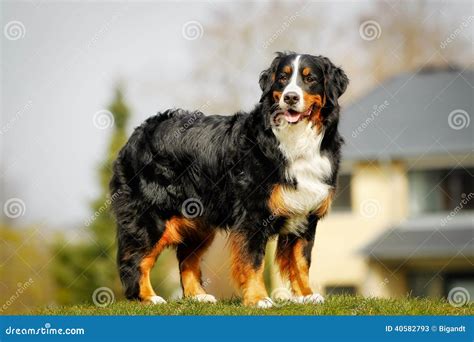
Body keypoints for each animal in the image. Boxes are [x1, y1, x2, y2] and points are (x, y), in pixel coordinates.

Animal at [110, 51, 348, 308]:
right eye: (283, 78)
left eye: (310, 78)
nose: (291, 97)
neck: (295, 140)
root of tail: (139, 132)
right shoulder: (253, 215)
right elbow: (254, 261)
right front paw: (258, 298)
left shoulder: (306, 213)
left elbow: (302, 260)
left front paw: (306, 295)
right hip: (152, 217)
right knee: (136, 260)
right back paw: (148, 297)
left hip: (198, 221)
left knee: (186, 258)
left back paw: (198, 296)